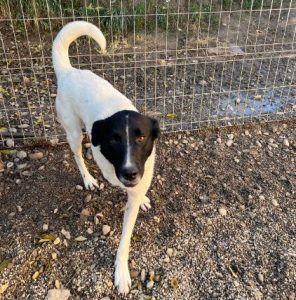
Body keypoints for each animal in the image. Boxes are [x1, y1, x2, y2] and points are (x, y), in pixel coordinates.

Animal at [52, 21, 161, 296]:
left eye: (141, 137)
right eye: (114, 140)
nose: (130, 172)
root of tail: (68, 71)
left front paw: (143, 198)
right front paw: (121, 274)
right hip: (72, 131)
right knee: (78, 155)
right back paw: (88, 178)